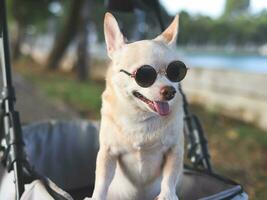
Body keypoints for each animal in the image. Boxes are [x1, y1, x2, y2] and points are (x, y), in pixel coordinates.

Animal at [91, 12, 187, 200]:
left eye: (175, 72)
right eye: (145, 75)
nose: (170, 91)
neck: (140, 117)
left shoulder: (175, 150)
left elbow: (170, 176)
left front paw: (167, 195)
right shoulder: (107, 153)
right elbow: (102, 181)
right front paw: (96, 197)